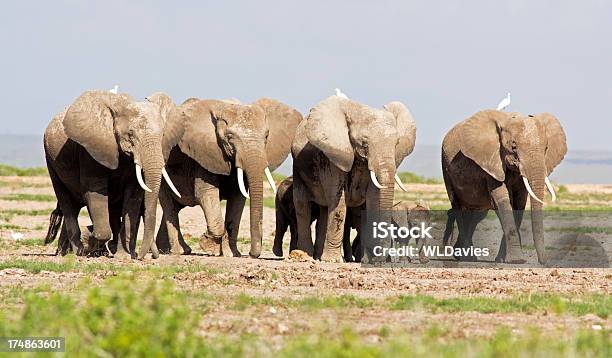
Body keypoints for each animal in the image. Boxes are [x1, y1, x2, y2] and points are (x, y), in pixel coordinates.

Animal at [43, 89, 179, 258]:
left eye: (162, 136)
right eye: (130, 134)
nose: (141, 256)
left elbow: (132, 197)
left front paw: (122, 255)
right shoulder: (90, 150)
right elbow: (95, 191)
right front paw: (89, 239)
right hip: (51, 160)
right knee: (67, 203)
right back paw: (77, 250)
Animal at [148, 93, 302, 256]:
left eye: (266, 136)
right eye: (229, 137)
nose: (251, 254)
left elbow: (238, 198)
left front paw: (233, 254)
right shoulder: (203, 153)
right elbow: (206, 194)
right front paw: (210, 246)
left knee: (175, 207)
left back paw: (166, 250)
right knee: (169, 205)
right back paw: (180, 251)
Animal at [292, 96, 416, 262]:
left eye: (396, 143)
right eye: (364, 143)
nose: (380, 260)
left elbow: (373, 200)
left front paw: (367, 261)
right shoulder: (334, 155)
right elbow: (338, 202)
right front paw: (333, 261)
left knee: (325, 209)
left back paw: (318, 256)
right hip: (298, 168)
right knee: (301, 205)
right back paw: (305, 255)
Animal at [442, 110, 568, 264]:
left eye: (546, 148)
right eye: (513, 147)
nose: (544, 262)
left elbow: (519, 203)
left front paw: (502, 259)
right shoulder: (491, 161)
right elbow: (501, 199)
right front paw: (516, 260)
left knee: (476, 214)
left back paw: (462, 254)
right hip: (446, 169)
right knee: (458, 207)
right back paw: (467, 258)